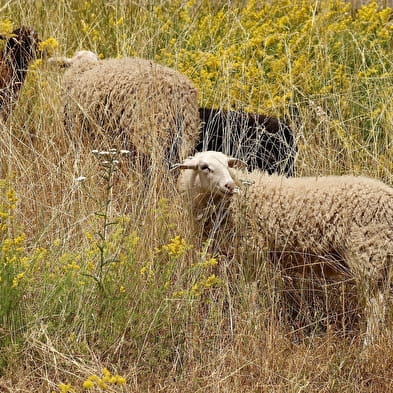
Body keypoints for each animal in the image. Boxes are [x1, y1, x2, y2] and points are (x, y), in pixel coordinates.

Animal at [175, 150, 392, 344]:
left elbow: (250, 292)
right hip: (380, 258)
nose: (229, 186)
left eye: (228, 165)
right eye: (204, 167)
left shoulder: (251, 251)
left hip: (367, 253)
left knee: (375, 306)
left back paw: (367, 346)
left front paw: (252, 323)